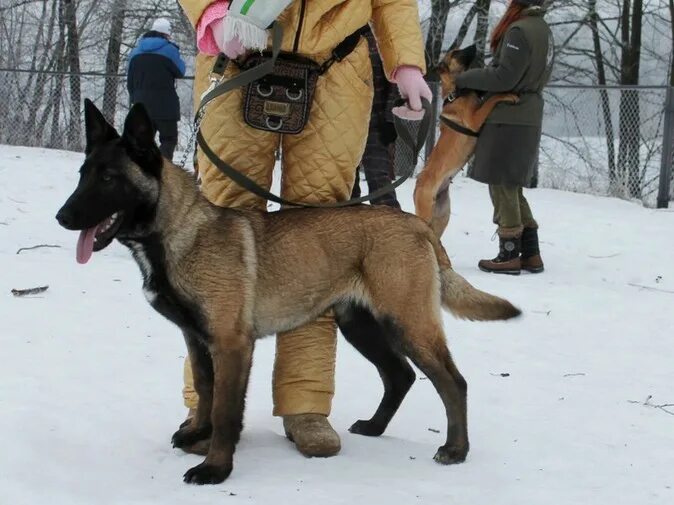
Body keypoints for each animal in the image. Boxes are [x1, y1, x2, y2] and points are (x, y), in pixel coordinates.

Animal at [57, 101, 520, 484]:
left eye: (109, 178)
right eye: (83, 176)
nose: (62, 217)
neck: (178, 233)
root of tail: (416, 224)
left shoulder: (232, 345)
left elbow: (225, 410)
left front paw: (215, 468)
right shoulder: (198, 341)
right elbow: (206, 392)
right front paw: (199, 434)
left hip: (408, 324)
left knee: (452, 383)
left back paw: (455, 450)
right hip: (362, 325)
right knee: (400, 376)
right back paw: (374, 427)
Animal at [412, 44, 516, 236]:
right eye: (455, 53)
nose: (474, 46)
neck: (456, 93)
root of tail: (417, 187)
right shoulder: (474, 120)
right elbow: (490, 101)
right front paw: (507, 95)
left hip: (442, 218)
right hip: (426, 216)